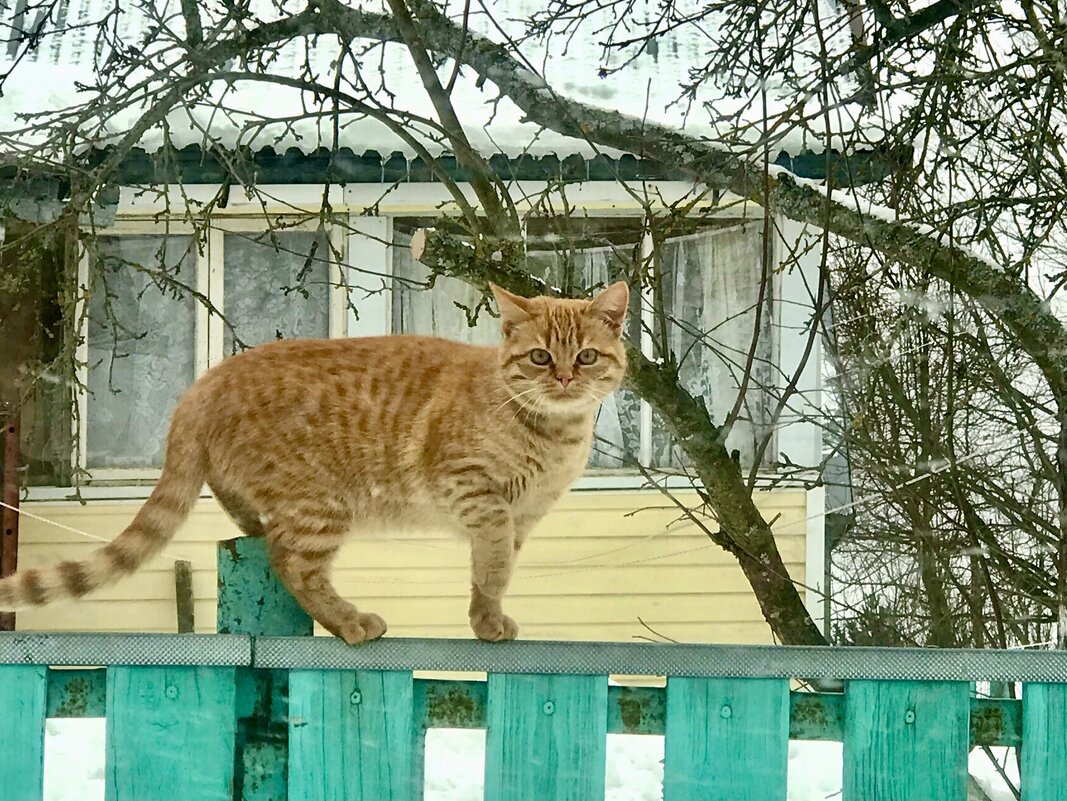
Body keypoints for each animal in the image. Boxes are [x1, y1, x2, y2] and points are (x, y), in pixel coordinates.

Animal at [0, 281, 627, 644]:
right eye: (541, 357)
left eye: (585, 357)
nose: (564, 378)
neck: (552, 433)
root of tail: (204, 382)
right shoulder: (477, 494)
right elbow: (492, 564)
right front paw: (489, 618)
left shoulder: (521, 518)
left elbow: (491, 570)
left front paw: (485, 615)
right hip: (321, 506)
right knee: (293, 564)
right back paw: (350, 622)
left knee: (248, 516)